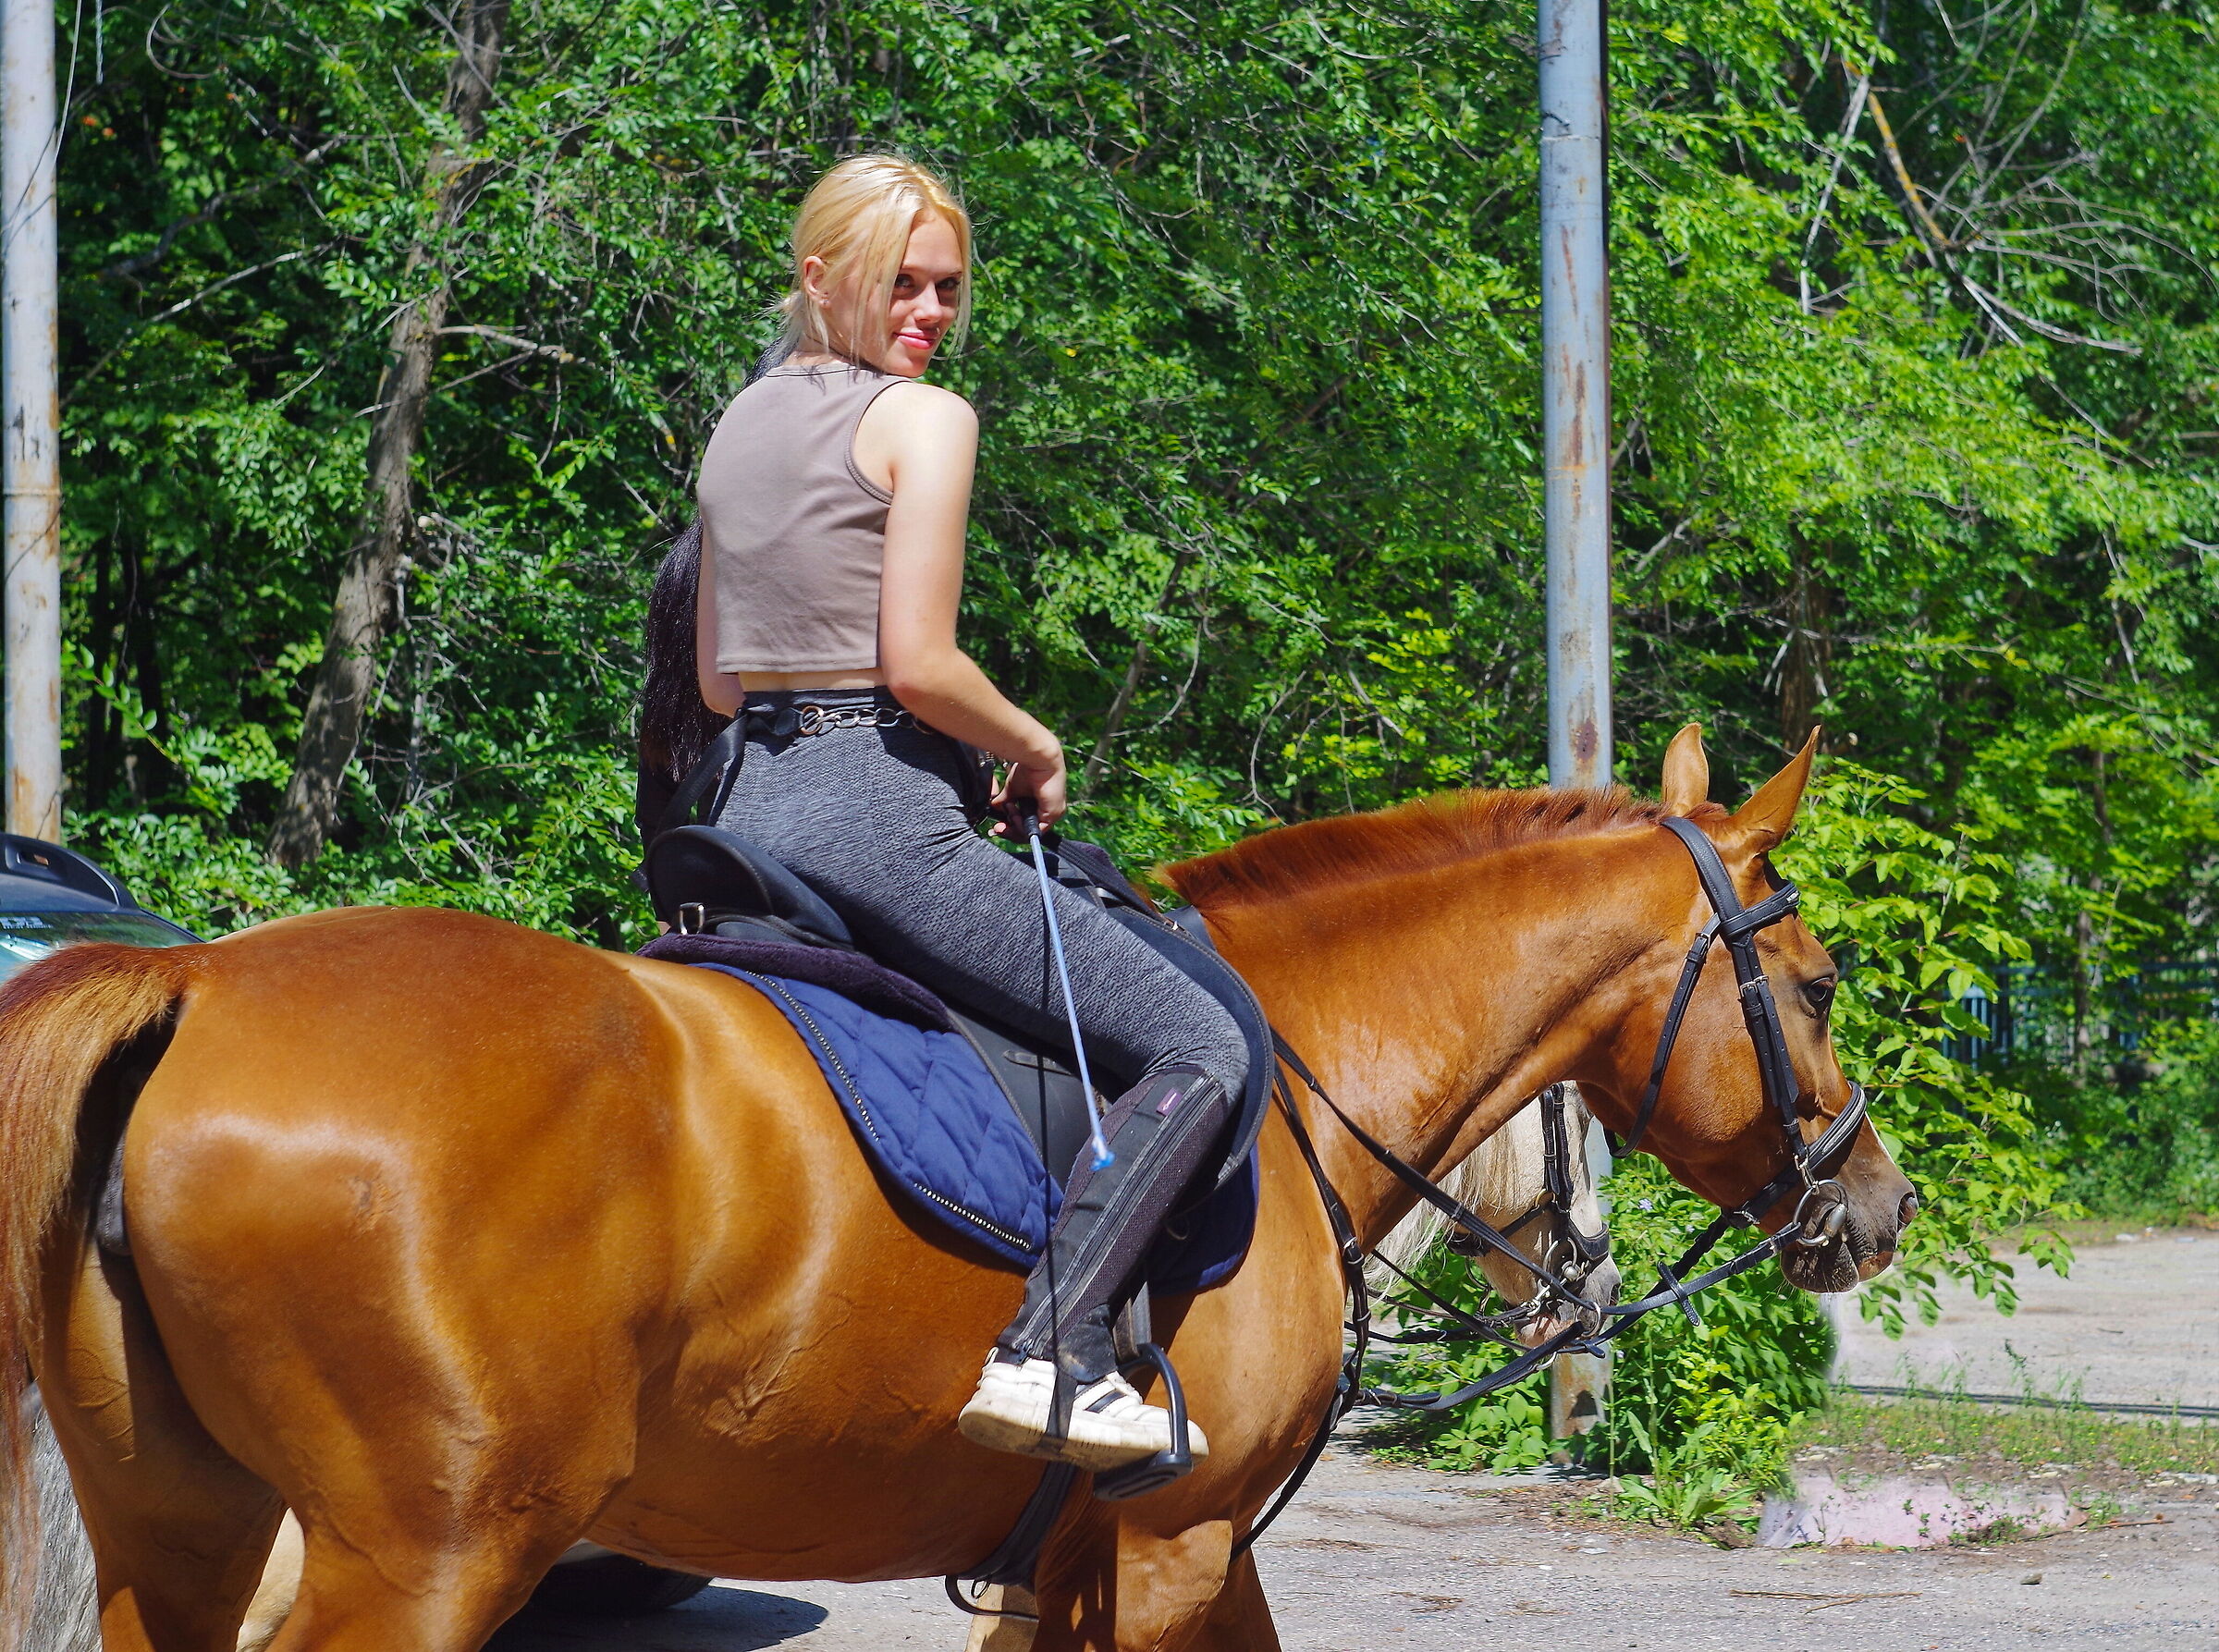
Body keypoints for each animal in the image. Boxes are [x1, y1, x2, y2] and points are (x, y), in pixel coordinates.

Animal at [0, 725, 1913, 1651]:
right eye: (1817, 987)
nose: (1873, 1205)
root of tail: (198, 985)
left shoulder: (1082, 1558)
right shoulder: (1174, 1544)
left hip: (185, 1526)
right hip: (422, 1555)